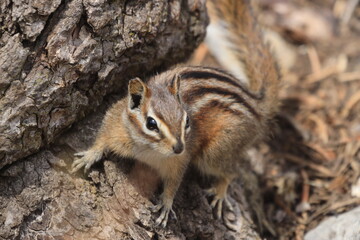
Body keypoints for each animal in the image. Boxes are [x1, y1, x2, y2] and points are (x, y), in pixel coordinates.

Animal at [71, 0, 282, 231]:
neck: (147, 149)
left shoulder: (178, 162)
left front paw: (166, 203)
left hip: (216, 150)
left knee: (230, 172)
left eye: (187, 120)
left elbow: (174, 183)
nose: (179, 147)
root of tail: (255, 103)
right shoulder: (115, 122)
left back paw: (220, 192)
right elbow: (101, 137)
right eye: (151, 123)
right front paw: (89, 155)